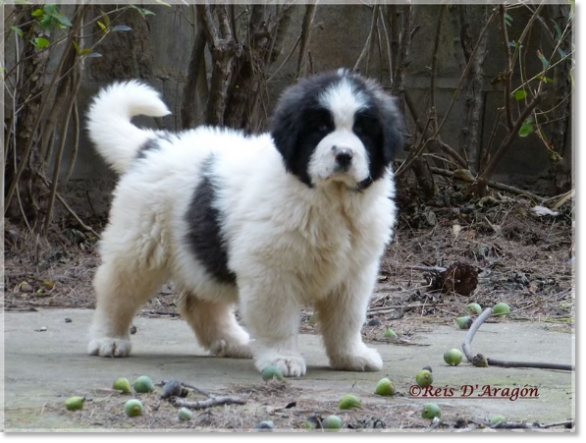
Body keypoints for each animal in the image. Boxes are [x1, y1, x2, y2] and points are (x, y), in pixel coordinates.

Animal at [85, 69, 402, 378]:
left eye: (362, 130)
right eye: (321, 128)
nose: (344, 155)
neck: (329, 200)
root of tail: (152, 144)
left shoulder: (354, 273)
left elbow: (347, 319)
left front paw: (352, 356)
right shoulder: (270, 269)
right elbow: (277, 318)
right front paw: (282, 358)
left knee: (199, 303)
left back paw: (233, 342)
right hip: (142, 244)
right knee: (116, 288)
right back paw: (109, 339)